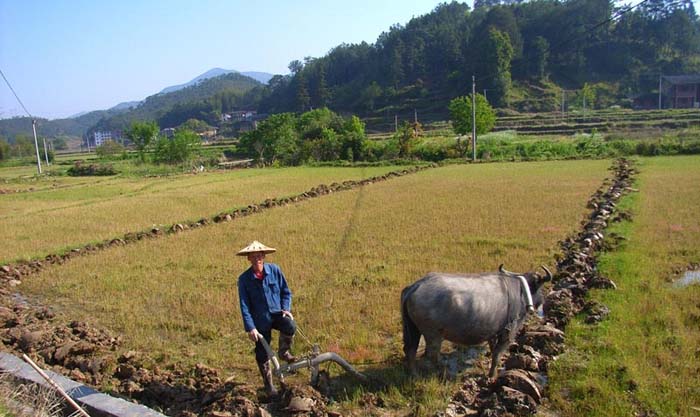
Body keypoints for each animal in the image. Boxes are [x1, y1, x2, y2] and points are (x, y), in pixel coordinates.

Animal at [402, 266, 548, 376]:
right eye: (539, 287)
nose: (542, 301)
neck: (520, 293)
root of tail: (416, 286)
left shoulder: (493, 332)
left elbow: (492, 348)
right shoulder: (508, 333)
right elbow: (497, 354)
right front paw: (492, 375)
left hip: (413, 329)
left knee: (411, 350)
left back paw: (414, 374)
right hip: (433, 336)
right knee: (431, 355)